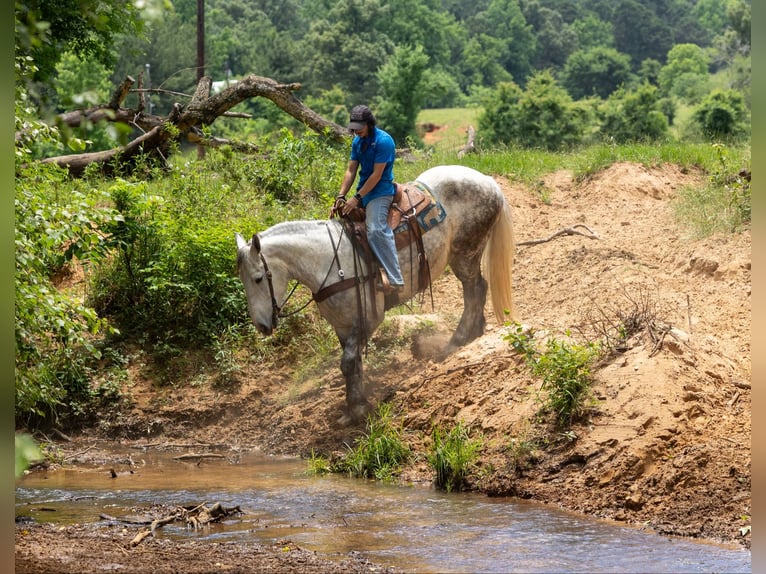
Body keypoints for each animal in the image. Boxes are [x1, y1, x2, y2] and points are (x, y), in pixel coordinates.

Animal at [235, 164, 515, 425]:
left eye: (258, 278)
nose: (262, 326)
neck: (327, 260)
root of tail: (488, 181)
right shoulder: (344, 325)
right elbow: (353, 364)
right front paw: (355, 405)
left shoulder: (368, 318)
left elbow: (348, 362)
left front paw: (357, 408)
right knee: (477, 289)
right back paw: (474, 332)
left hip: (465, 252)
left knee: (475, 290)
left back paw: (456, 341)